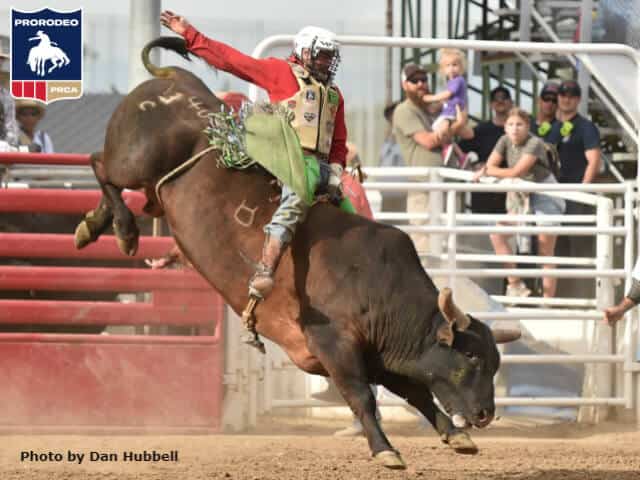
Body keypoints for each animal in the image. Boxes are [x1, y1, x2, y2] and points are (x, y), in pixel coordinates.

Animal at [76, 38, 520, 472]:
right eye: (471, 357)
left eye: (495, 361)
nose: (485, 414)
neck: (377, 284)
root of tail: (175, 80)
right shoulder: (334, 345)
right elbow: (362, 397)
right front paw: (385, 450)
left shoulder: (380, 355)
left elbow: (417, 392)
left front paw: (454, 435)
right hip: (133, 160)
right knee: (99, 165)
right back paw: (122, 231)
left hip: (155, 192)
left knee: (122, 188)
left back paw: (94, 225)